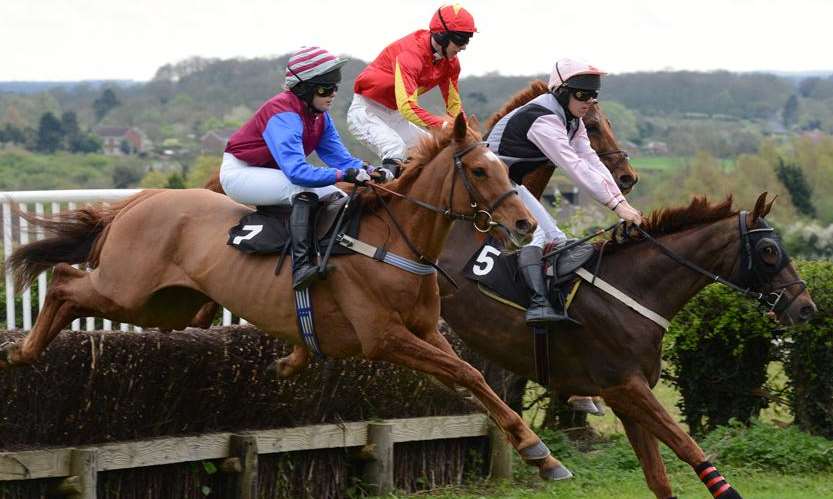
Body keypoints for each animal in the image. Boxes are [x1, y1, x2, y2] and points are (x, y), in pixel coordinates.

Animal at [4, 113, 584, 480]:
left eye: (508, 168)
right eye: (482, 170)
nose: (524, 224)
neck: (392, 239)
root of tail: (137, 203)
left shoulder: (421, 331)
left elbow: (474, 377)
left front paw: (541, 454)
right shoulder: (384, 338)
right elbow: (465, 371)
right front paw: (537, 449)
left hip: (162, 304)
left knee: (80, 290)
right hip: (126, 289)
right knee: (64, 280)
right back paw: (21, 351)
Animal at [438, 192, 816, 499]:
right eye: (769, 251)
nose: (806, 307)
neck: (631, 291)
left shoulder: (626, 397)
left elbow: (658, 477)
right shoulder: (625, 386)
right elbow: (686, 444)